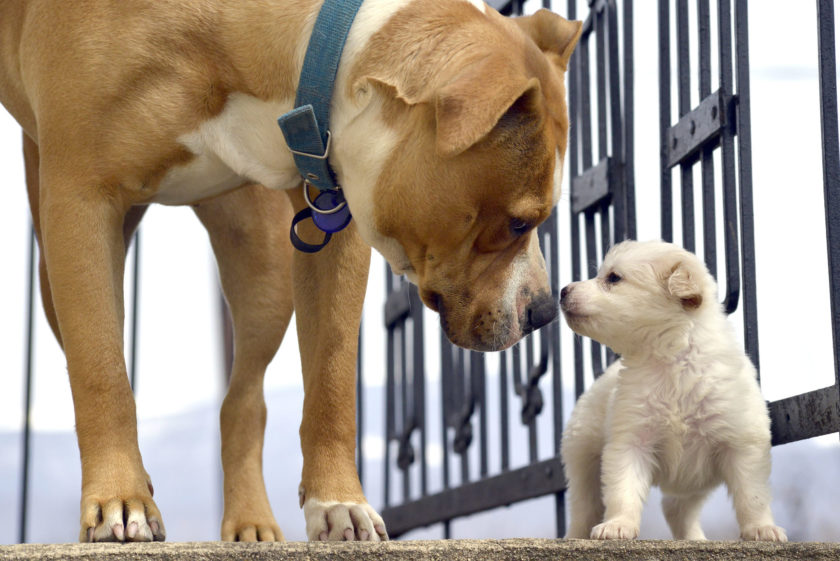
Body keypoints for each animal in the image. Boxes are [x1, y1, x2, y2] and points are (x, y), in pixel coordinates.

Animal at [0, 0, 576, 544]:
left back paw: (250, 521)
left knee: (243, 400)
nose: (545, 311)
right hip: (56, 268)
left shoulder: (335, 214)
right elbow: (101, 371)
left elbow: (332, 372)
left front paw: (339, 502)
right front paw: (121, 498)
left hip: (263, 269)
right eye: (520, 221)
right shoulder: (79, 202)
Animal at [560, 238, 784, 540]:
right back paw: (574, 536)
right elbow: (623, 490)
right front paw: (618, 524)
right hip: (582, 454)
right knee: (584, 506)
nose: (563, 290)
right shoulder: (630, 440)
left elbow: (752, 495)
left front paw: (761, 528)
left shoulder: (742, 443)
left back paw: (695, 539)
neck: (671, 361)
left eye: (614, 278)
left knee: (676, 508)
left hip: (695, 480)